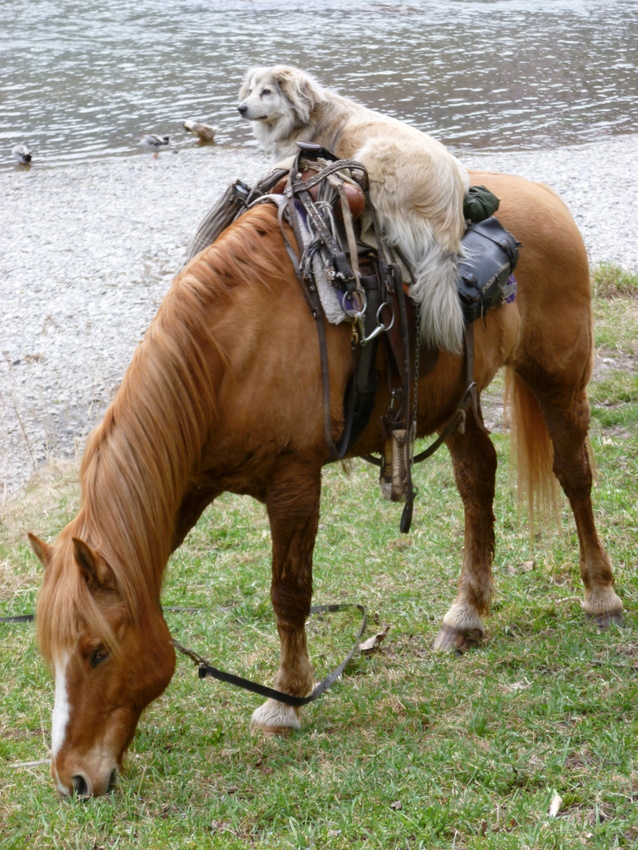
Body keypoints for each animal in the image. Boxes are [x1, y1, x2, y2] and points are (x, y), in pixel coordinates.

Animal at [30, 167, 624, 796]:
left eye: (97, 652)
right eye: (53, 655)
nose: (72, 779)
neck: (224, 355)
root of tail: (543, 198)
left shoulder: (293, 481)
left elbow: (289, 595)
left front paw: (285, 701)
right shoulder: (190, 485)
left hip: (558, 375)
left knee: (575, 476)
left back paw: (600, 596)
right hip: (457, 398)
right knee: (476, 479)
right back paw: (466, 616)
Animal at [240, 64, 470, 352]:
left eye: (266, 92)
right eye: (250, 90)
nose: (240, 108)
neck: (308, 117)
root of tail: (450, 215)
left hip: (376, 152)